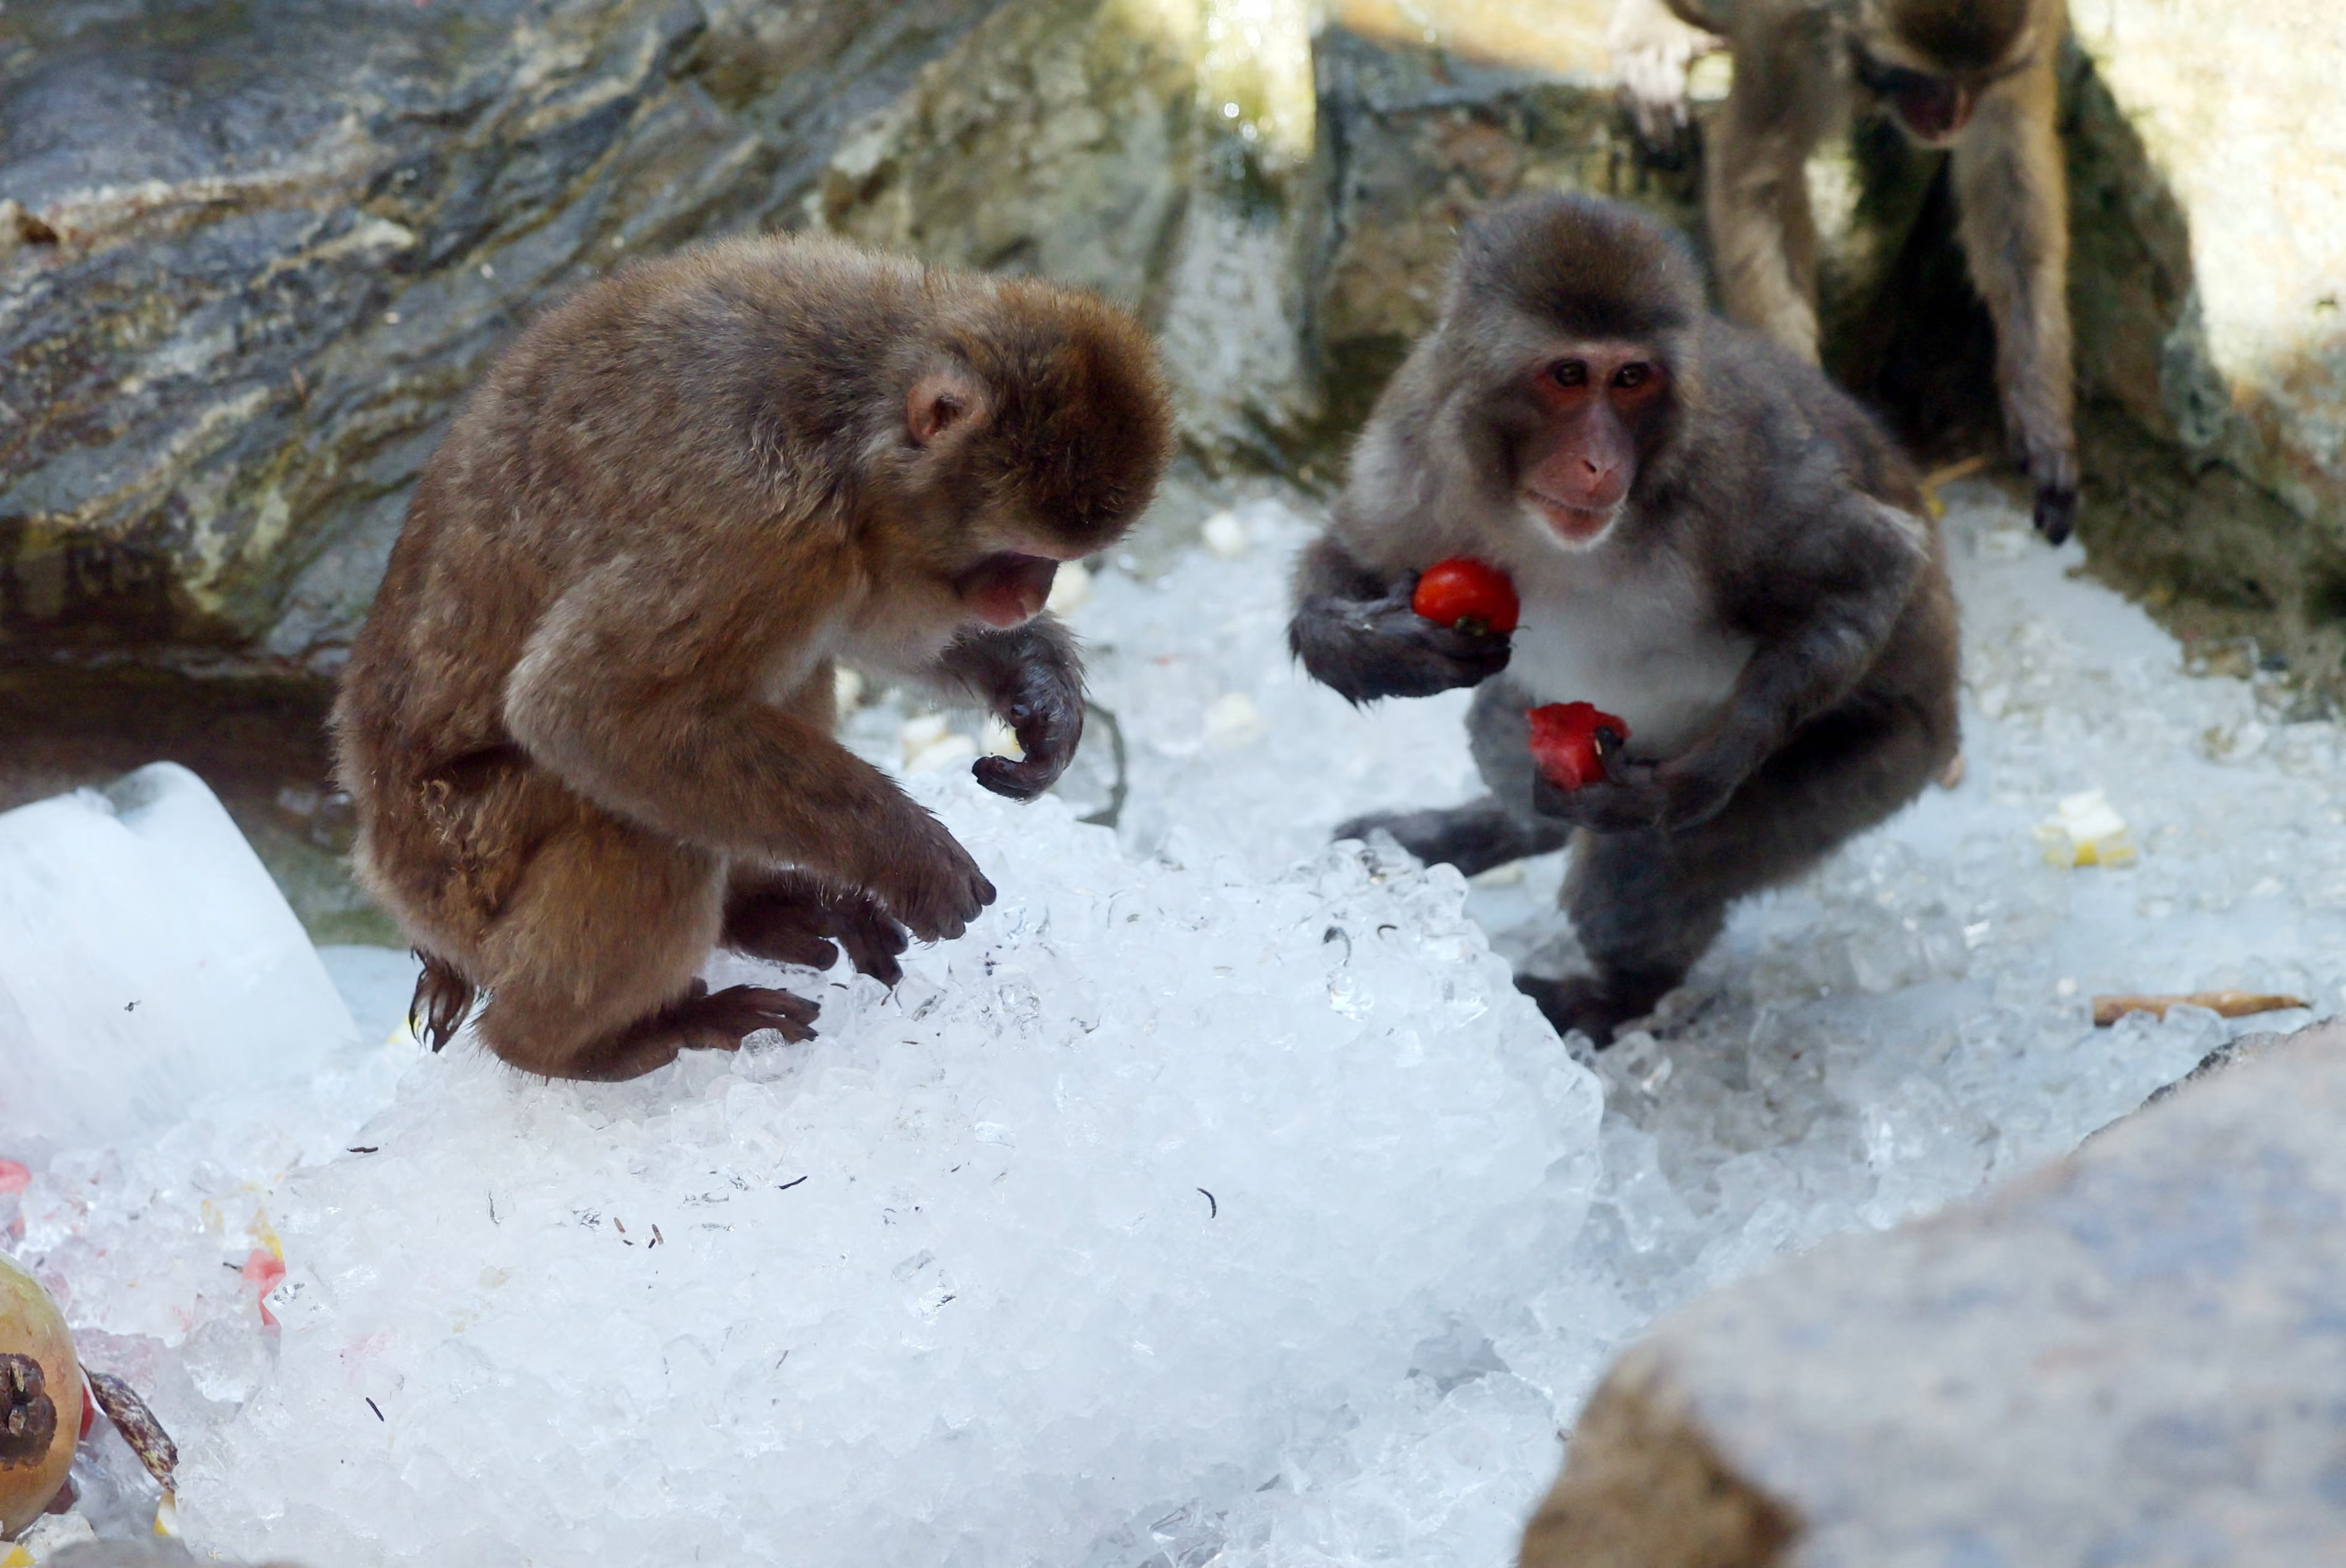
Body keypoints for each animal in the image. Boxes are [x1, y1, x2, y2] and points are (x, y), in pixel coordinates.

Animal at [333, 233, 1172, 1082]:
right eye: (1018, 553)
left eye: (1052, 560)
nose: (1029, 599)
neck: (848, 421)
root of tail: (384, 864)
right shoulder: (762, 525)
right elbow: (586, 707)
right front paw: (910, 858)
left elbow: (879, 638)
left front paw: (1038, 687)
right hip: (466, 866)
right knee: (630, 817)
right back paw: (580, 1043)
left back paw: (756, 908)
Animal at [1289, 192, 1959, 1045]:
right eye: (1569, 375)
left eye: (1633, 378)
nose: (1601, 462)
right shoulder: (1413, 440)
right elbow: (1353, 552)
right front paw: (1373, 644)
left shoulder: (1738, 478)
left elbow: (1874, 569)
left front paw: (1697, 776)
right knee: (1507, 735)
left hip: (1876, 759)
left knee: (1640, 868)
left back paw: (1605, 1000)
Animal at [1608, 0, 2078, 544]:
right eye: (1920, 78)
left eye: (1979, 79)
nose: (1950, 118)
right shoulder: (1786, 29)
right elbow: (1758, 171)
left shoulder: (2036, 35)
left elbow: (2011, 166)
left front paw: (2043, 416)